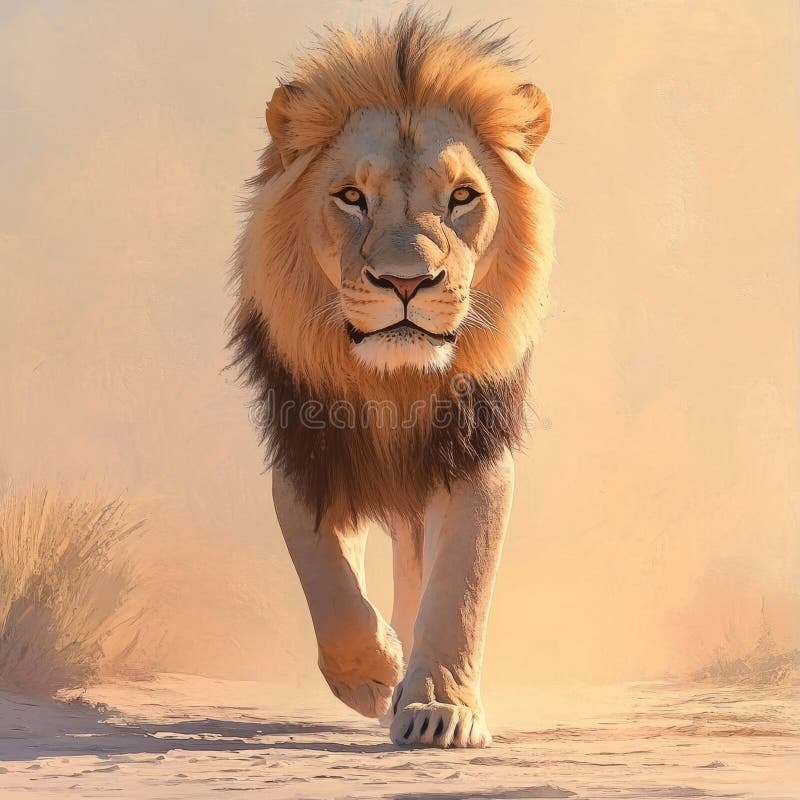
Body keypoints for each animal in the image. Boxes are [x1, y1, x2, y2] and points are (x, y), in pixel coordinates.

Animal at [229, 10, 555, 748]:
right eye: (352, 197)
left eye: (462, 197)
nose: (407, 282)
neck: (395, 386)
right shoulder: (305, 451)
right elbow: (326, 579)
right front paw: (374, 674)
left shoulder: (472, 449)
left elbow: (460, 585)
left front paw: (439, 708)